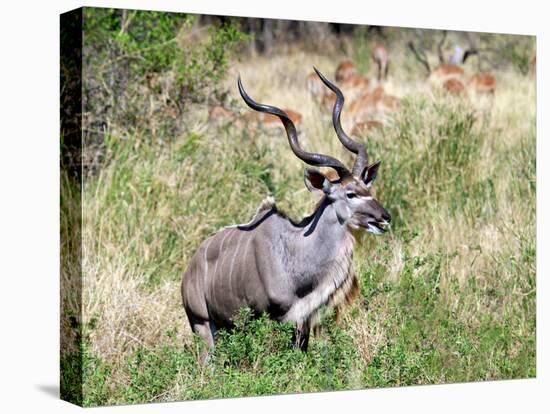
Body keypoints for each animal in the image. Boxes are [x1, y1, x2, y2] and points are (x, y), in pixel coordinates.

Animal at [182, 67, 392, 352]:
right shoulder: (274, 319)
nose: (384, 217)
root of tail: (189, 272)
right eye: (350, 193)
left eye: (368, 188)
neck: (297, 251)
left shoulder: (304, 322)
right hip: (202, 326)